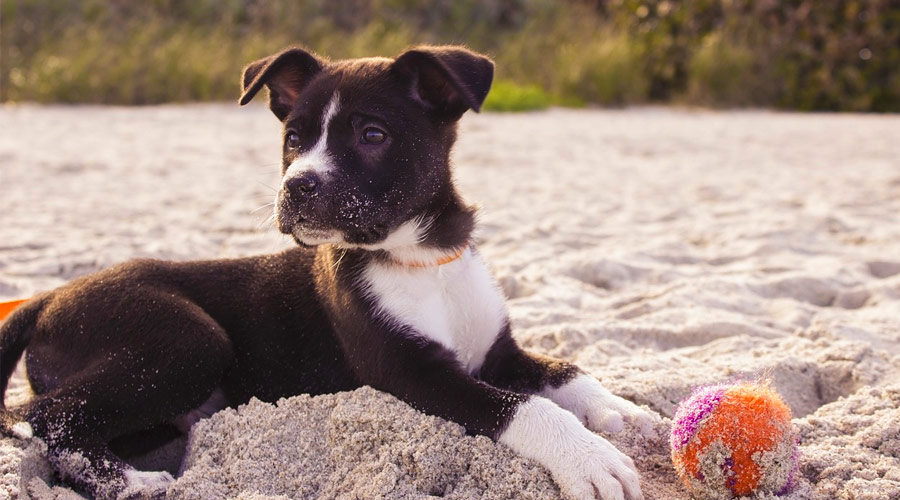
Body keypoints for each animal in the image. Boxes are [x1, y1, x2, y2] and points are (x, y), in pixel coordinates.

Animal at [0, 47, 652, 500]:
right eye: (293, 138)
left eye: (372, 135)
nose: (296, 187)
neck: (422, 259)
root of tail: (48, 297)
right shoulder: (411, 374)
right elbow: (523, 407)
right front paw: (589, 458)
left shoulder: (497, 352)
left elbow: (565, 370)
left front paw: (623, 410)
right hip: (187, 339)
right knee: (47, 417)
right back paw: (133, 484)